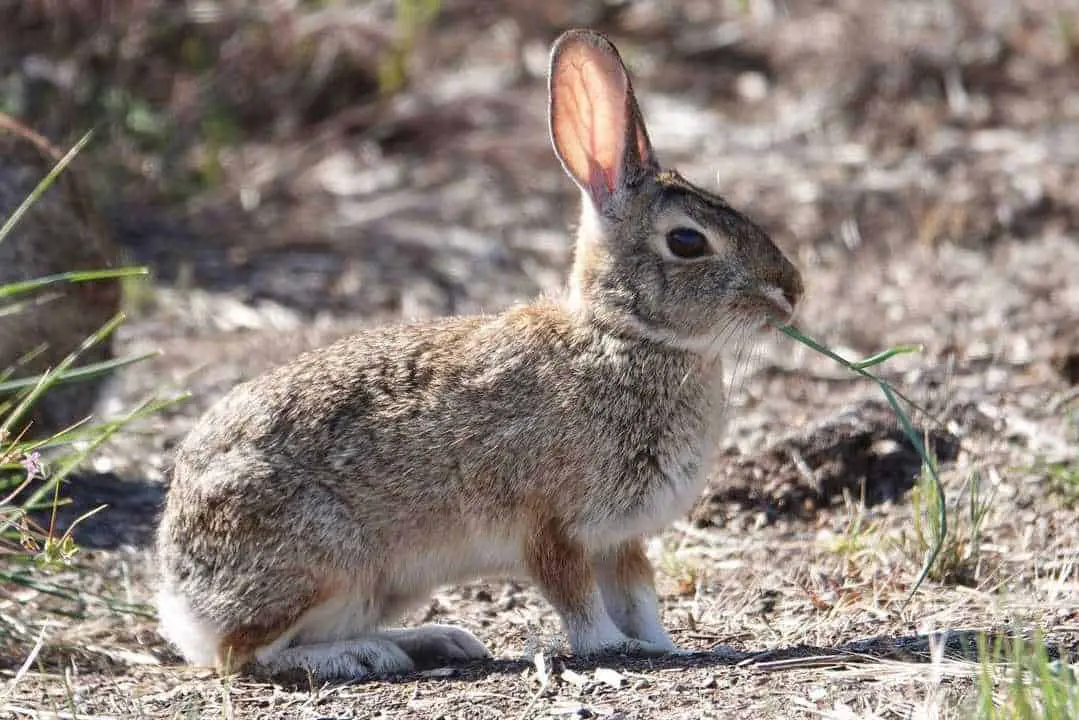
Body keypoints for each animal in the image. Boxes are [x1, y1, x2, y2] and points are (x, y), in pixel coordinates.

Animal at [157, 29, 802, 682]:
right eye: (688, 241)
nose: (792, 290)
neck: (623, 335)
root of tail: (178, 595)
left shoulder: (618, 538)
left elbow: (637, 594)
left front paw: (664, 645)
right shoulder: (551, 525)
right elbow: (577, 599)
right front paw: (616, 649)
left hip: (376, 586)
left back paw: (434, 639)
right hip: (324, 560)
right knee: (242, 654)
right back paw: (363, 654)